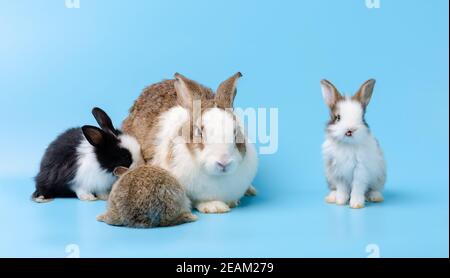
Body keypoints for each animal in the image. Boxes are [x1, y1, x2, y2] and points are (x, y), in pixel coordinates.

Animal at [320, 78, 386, 208]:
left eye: (362, 118)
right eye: (338, 117)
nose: (350, 130)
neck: (347, 144)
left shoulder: (360, 170)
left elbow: (357, 187)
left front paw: (356, 204)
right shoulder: (338, 171)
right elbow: (342, 189)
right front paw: (340, 201)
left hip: (379, 177)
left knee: (372, 189)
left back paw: (375, 197)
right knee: (334, 189)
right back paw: (331, 198)